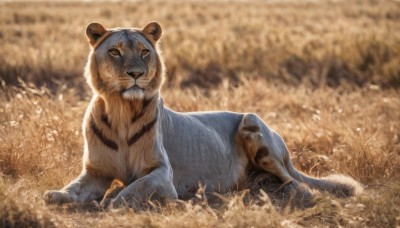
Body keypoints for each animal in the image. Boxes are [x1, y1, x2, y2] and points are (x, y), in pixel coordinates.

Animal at [43, 22, 362, 209]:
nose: (136, 74)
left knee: (296, 183)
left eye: (144, 52)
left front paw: (111, 200)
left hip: (251, 120)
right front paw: (57, 195)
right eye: (115, 52)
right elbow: (75, 186)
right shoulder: (96, 173)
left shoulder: (162, 175)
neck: (121, 108)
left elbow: (131, 190)